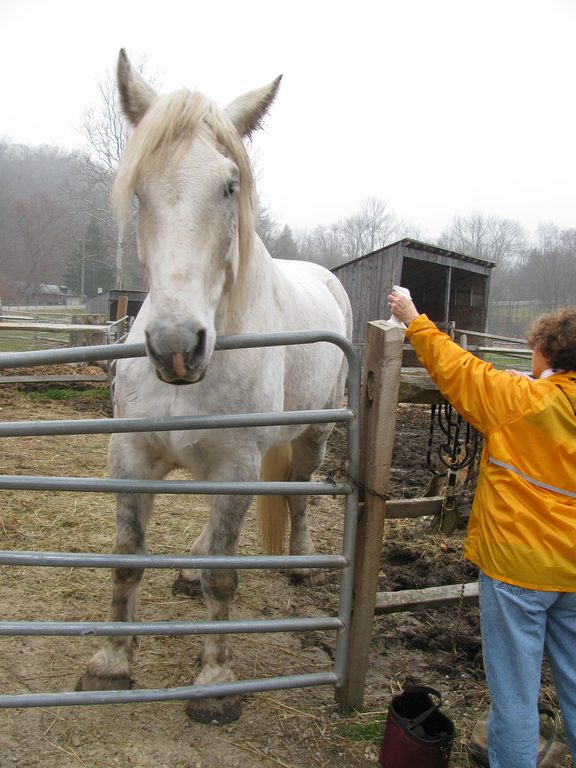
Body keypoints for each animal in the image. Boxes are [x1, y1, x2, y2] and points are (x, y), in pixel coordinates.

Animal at [77, 51, 352, 724]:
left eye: (230, 186)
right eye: (140, 190)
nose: (177, 345)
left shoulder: (236, 464)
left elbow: (222, 577)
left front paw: (214, 682)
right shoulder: (131, 460)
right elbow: (126, 560)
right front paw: (112, 664)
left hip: (315, 432)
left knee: (300, 492)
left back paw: (301, 563)